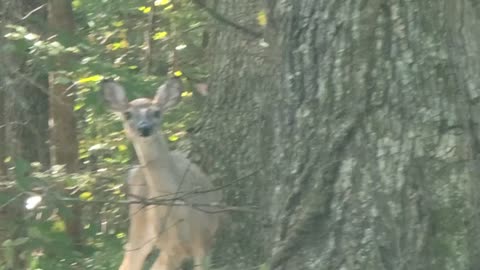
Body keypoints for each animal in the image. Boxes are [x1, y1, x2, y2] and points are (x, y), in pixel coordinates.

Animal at [102, 77, 222, 268]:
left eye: (157, 113)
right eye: (127, 114)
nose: (144, 128)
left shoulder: (204, 241)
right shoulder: (172, 246)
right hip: (139, 222)